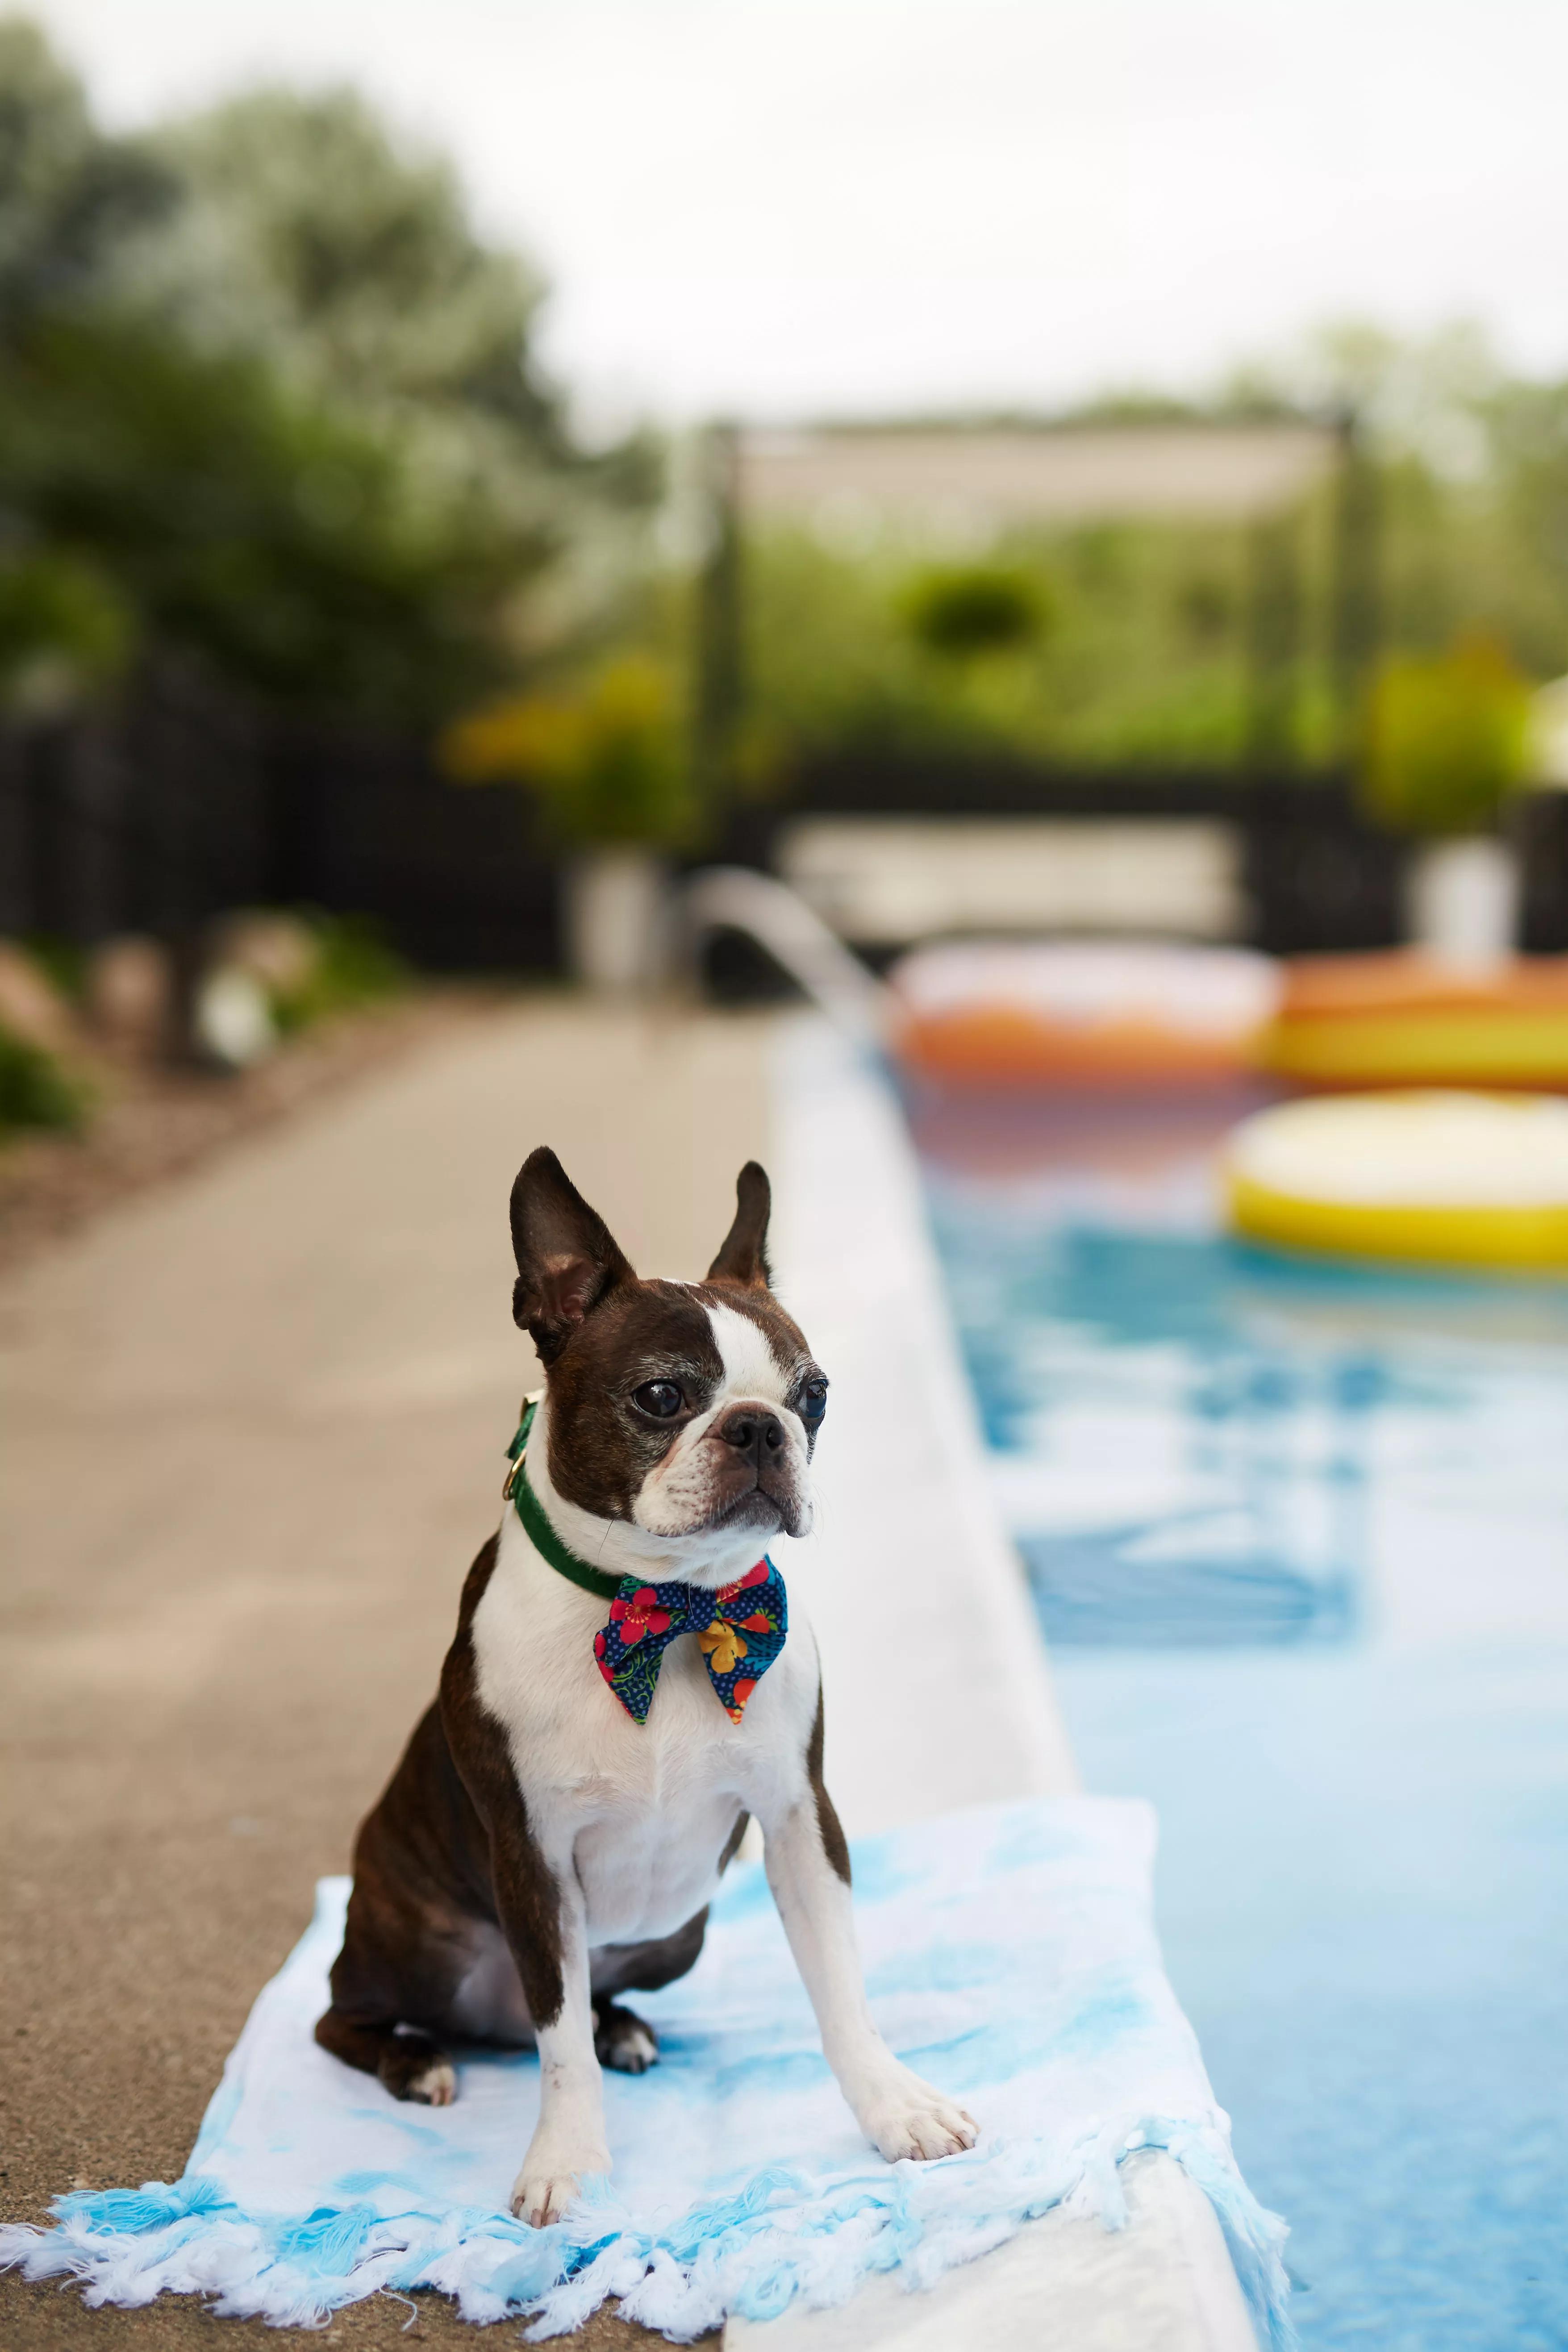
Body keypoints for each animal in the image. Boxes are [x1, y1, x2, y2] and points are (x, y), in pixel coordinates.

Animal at [315, 1147, 982, 2230]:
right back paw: (414, 2060)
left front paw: (894, 2107)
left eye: (814, 1395)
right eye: (662, 1396)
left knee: (588, 2001)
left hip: (677, 1938)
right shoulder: (532, 1854)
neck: (668, 1607)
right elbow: (558, 2050)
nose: (758, 1428)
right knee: (351, 2014)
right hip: (419, 1938)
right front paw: (567, 2164)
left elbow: (841, 1990)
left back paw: (621, 2027)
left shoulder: (800, 1820)